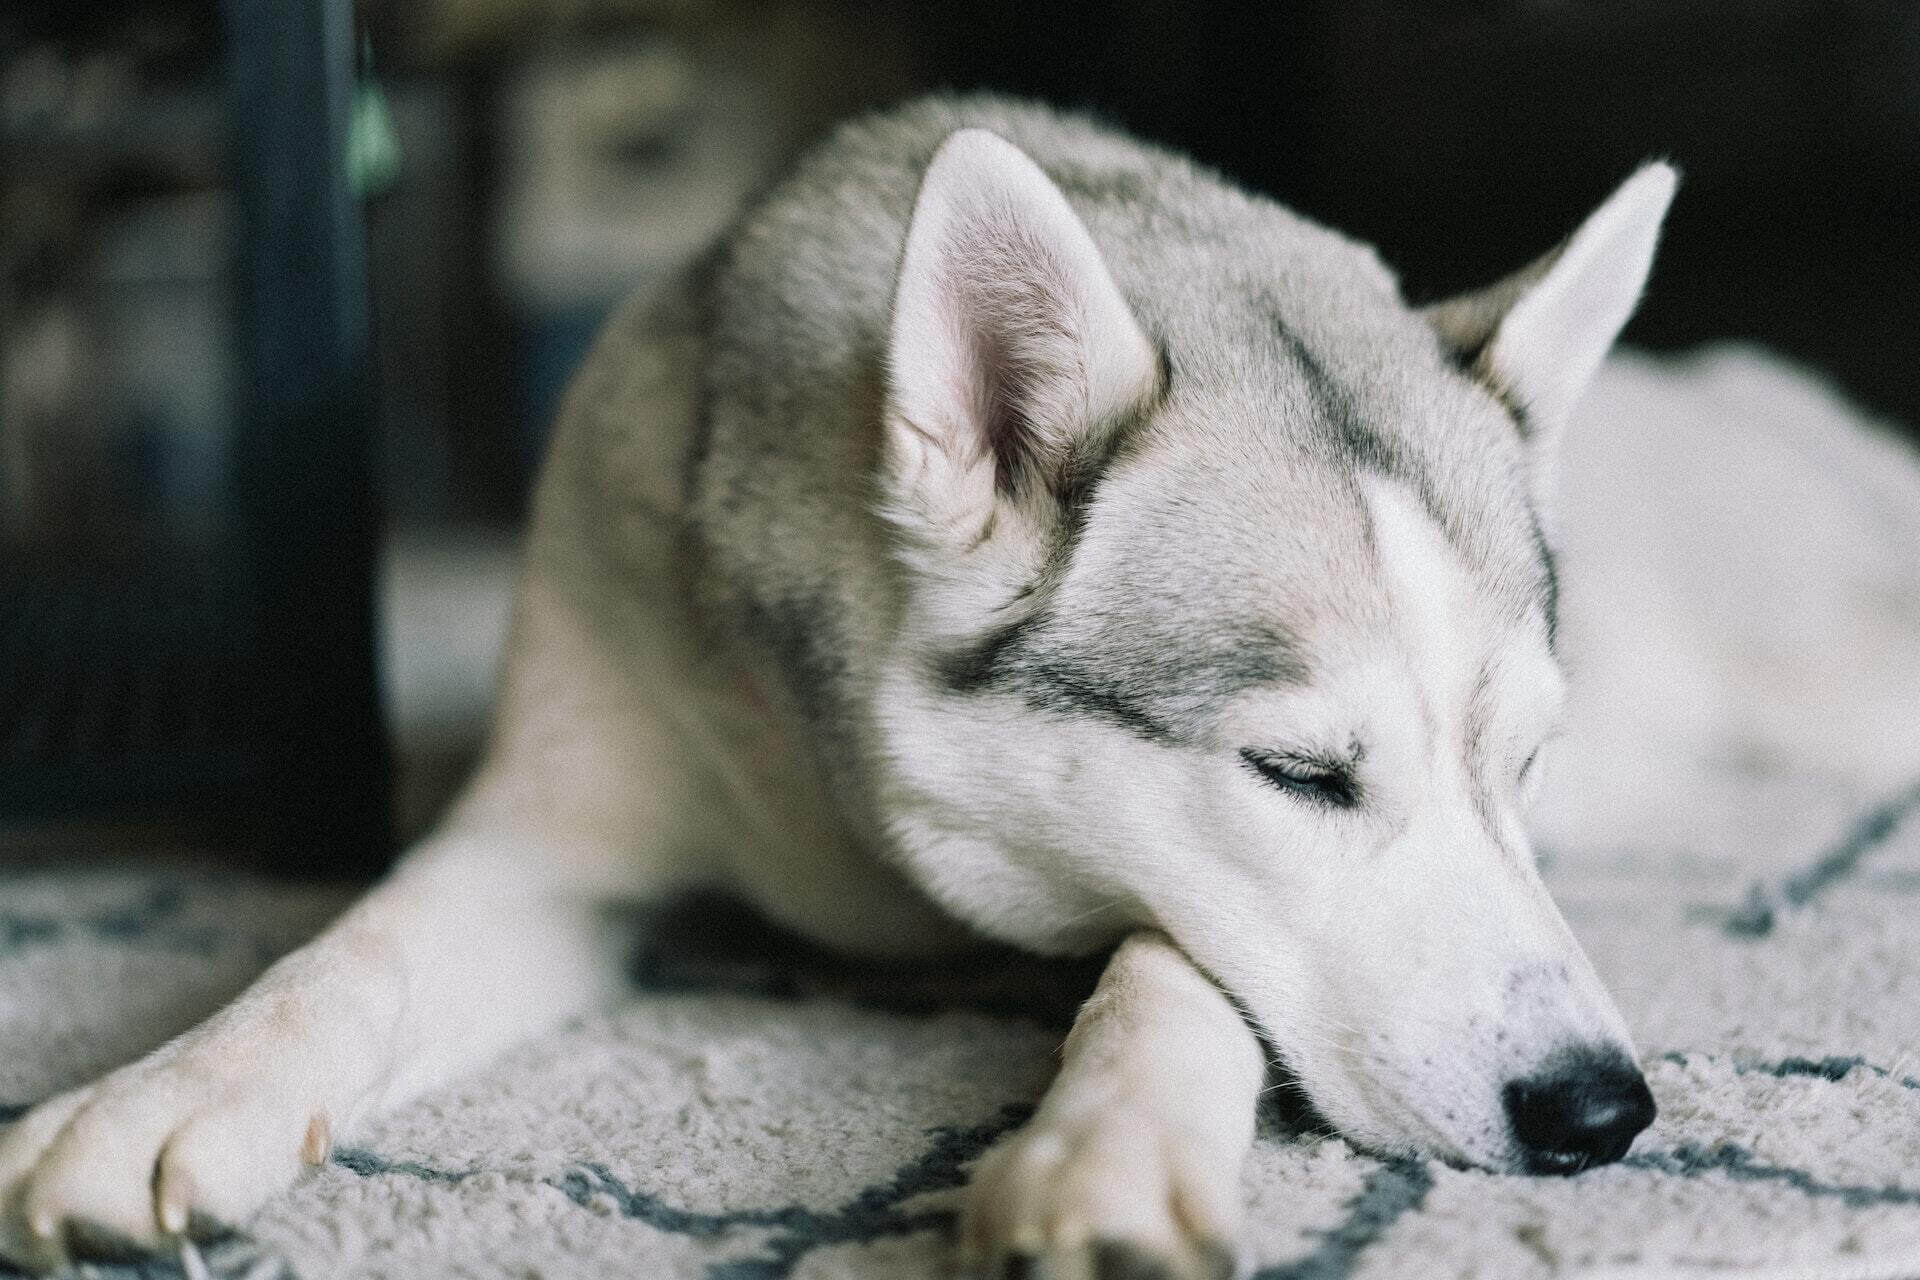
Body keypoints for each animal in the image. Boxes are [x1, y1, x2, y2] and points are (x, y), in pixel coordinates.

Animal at [0, 94, 1674, 1274]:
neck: (862, 833)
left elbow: (1172, 964)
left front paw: (1112, 1146)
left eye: (1524, 762)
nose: (1604, 1110)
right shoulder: (556, 836)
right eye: (1303, 776)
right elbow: (346, 960)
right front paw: (161, 1095)